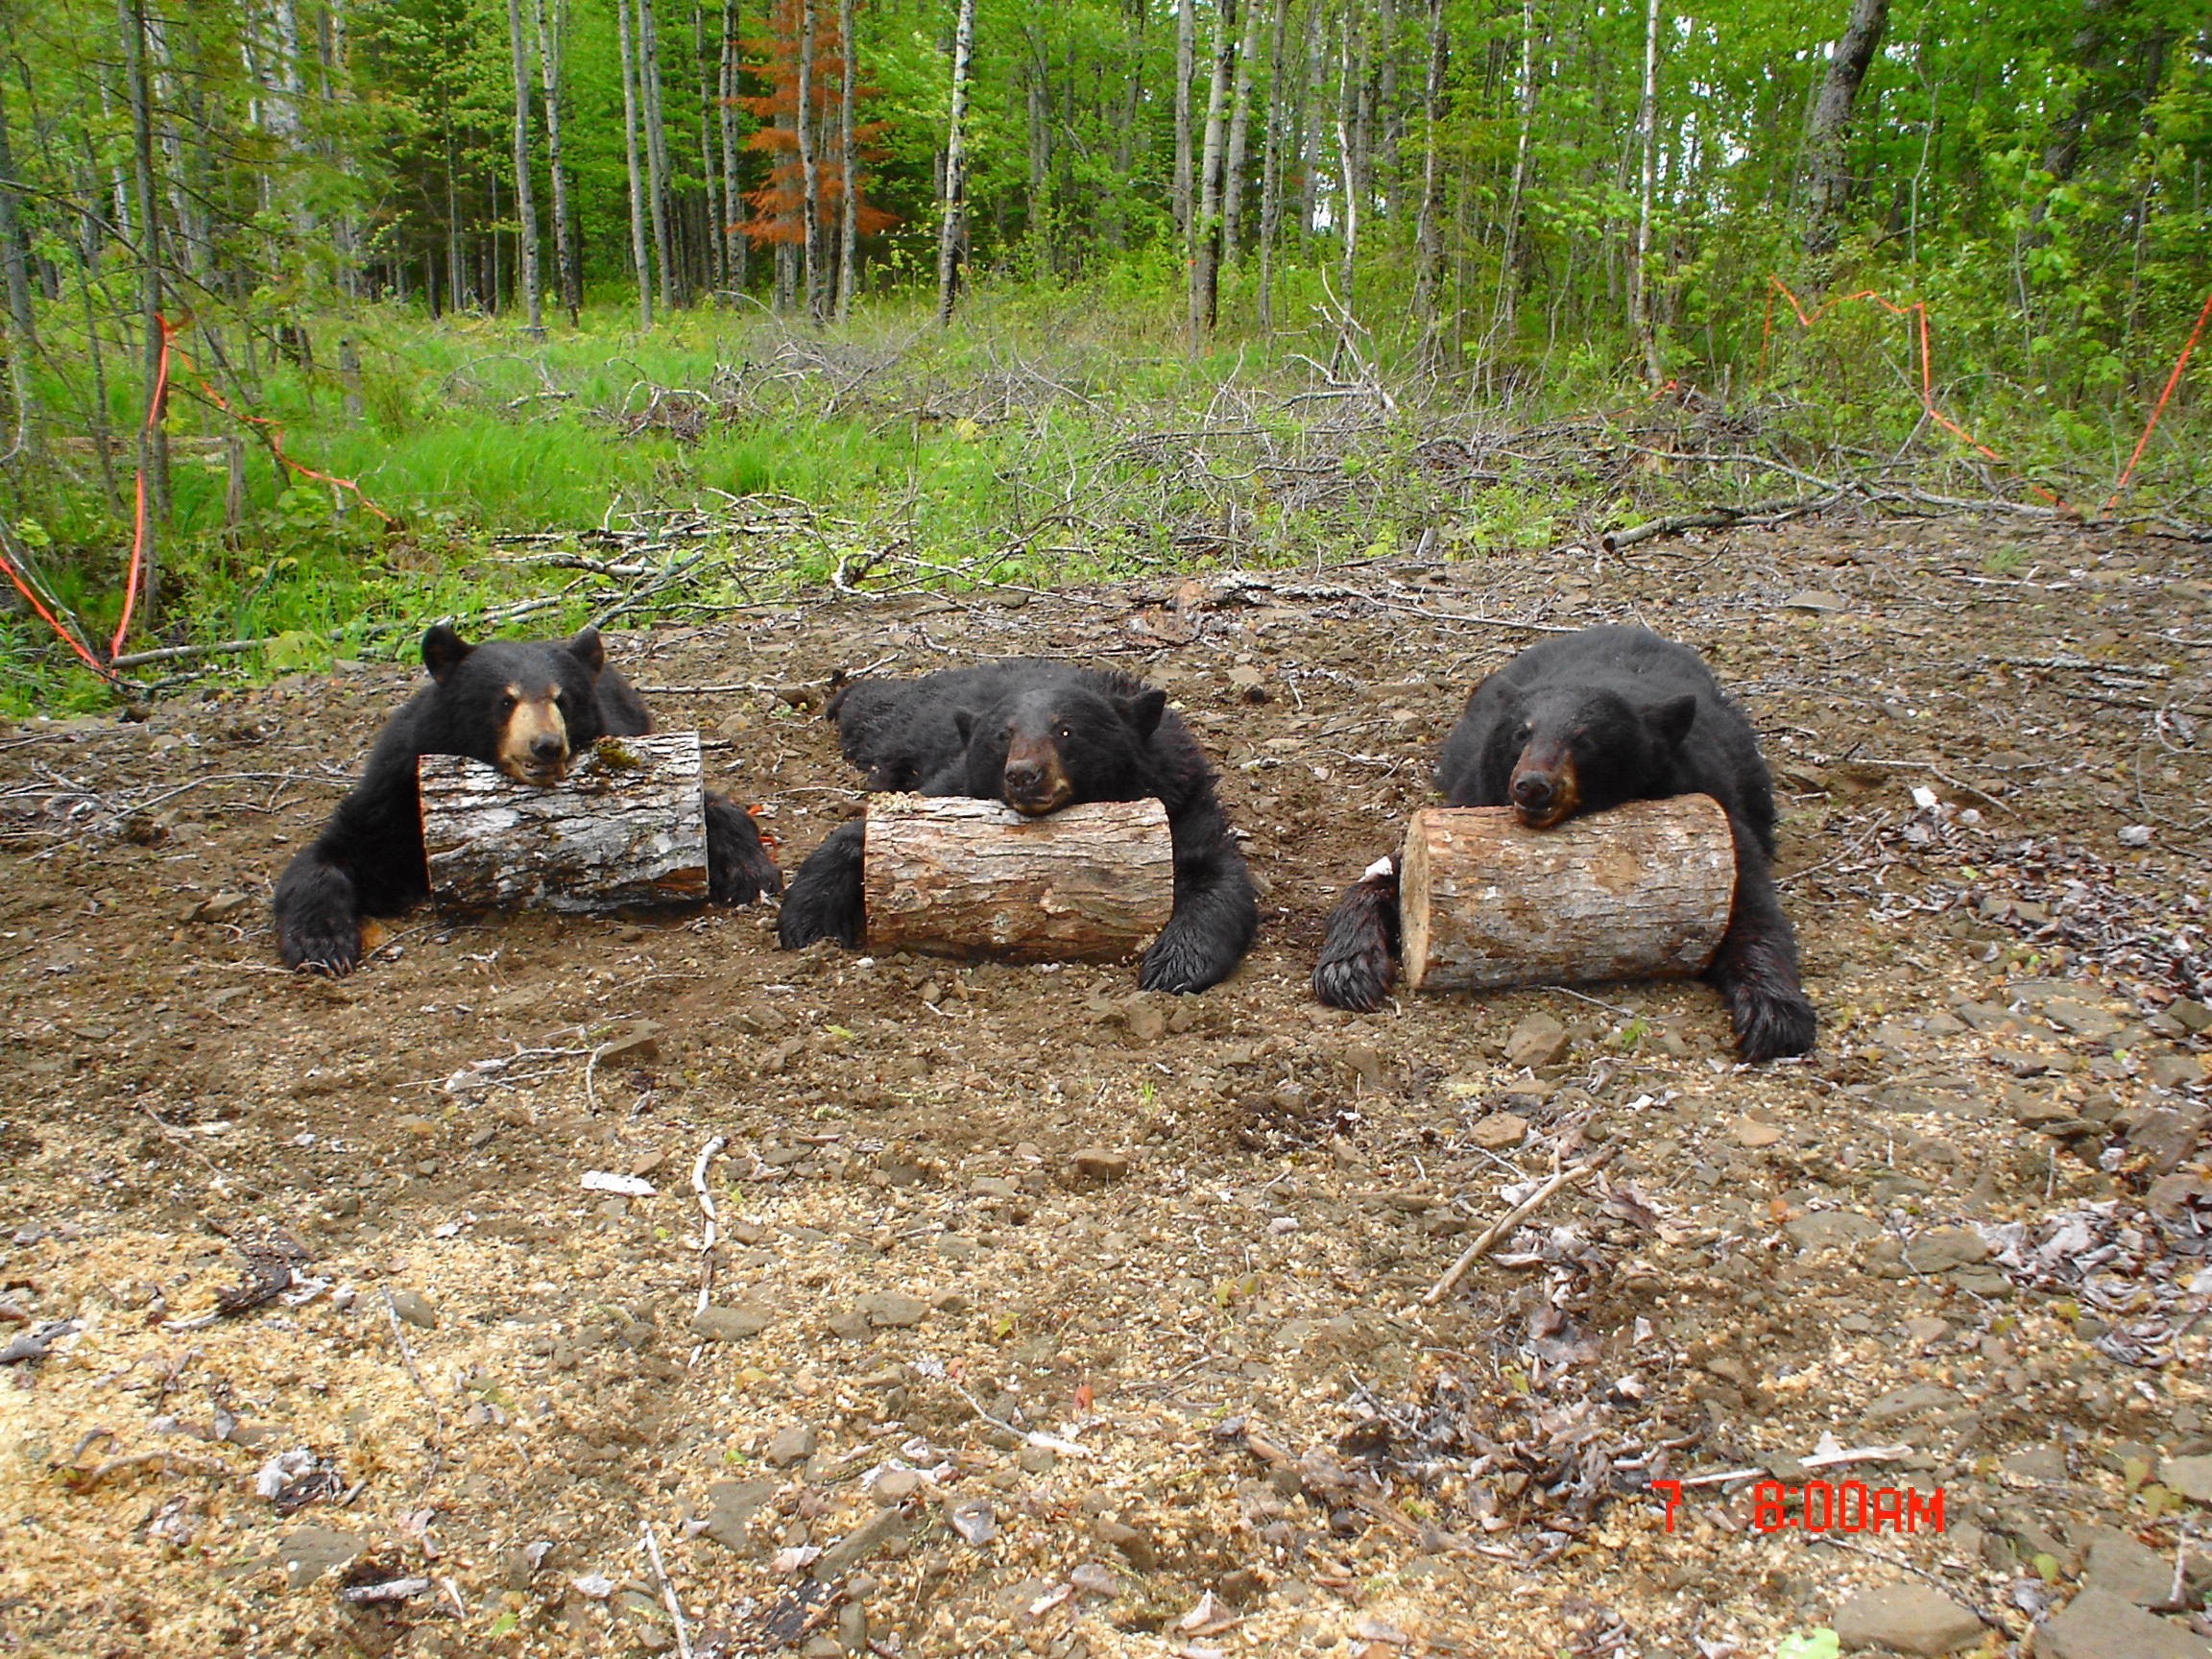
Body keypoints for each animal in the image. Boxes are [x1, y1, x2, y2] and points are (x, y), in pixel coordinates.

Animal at [272, 624, 781, 973]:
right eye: (504, 700)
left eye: (563, 699)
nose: (546, 746)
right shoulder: (394, 793)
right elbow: (340, 854)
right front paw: (321, 942)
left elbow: (712, 807)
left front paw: (748, 872)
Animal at [775, 659, 1258, 993]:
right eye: (1002, 735)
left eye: (1066, 731)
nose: (1023, 774)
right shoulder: (951, 784)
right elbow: (859, 836)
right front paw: (807, 920)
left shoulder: (1180, 797)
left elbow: (1216, 872)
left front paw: (1174, 964)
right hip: (898, 726)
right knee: (870, 706)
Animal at [1313, 625, 1816, 1062]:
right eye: (1522, 731)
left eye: (1586, 740)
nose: (1533, 786)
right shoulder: (1460, 811)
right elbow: (1385, 875)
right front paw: (1348, 967)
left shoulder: (1717, 809)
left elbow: (1752, 904)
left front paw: (1775, 1012)